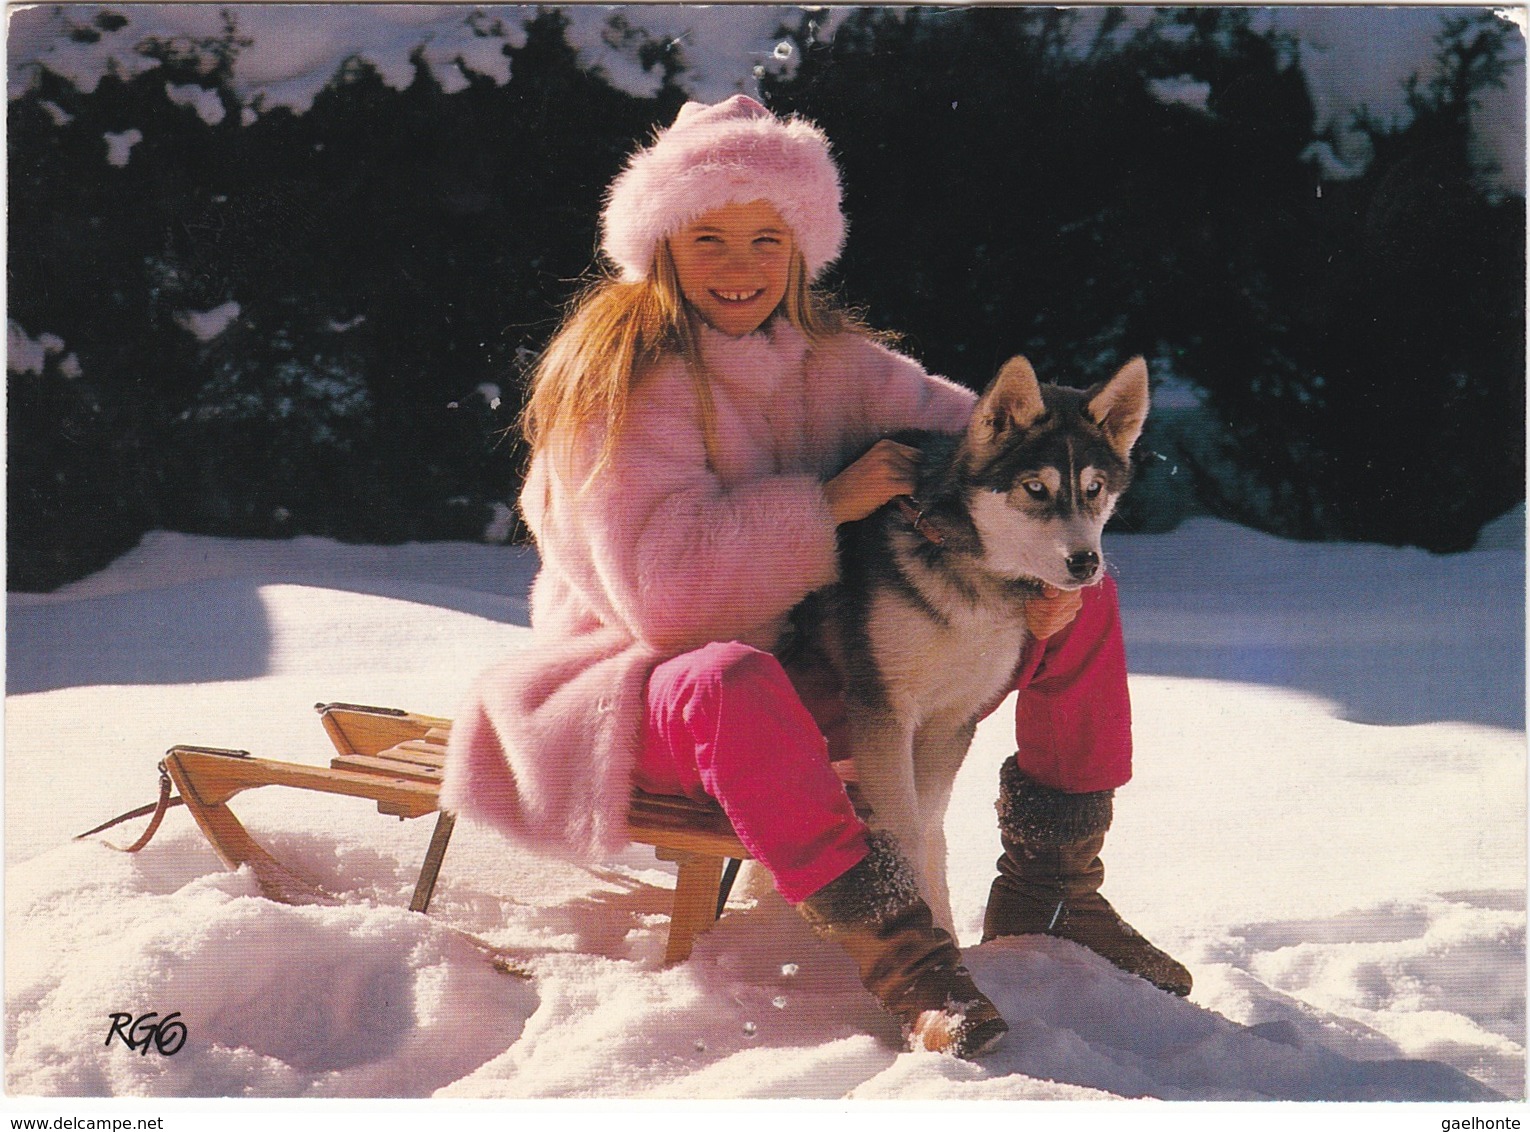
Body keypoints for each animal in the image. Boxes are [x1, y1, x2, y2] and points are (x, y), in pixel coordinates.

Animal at [801, 353, 1150, 930]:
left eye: (1095, 488)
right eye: (1036, 488)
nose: (1085, 563)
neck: (971, 579)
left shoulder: (953, 718)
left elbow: (929, 827)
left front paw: (942, 924)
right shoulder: (883, 711)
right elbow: (906, 830)